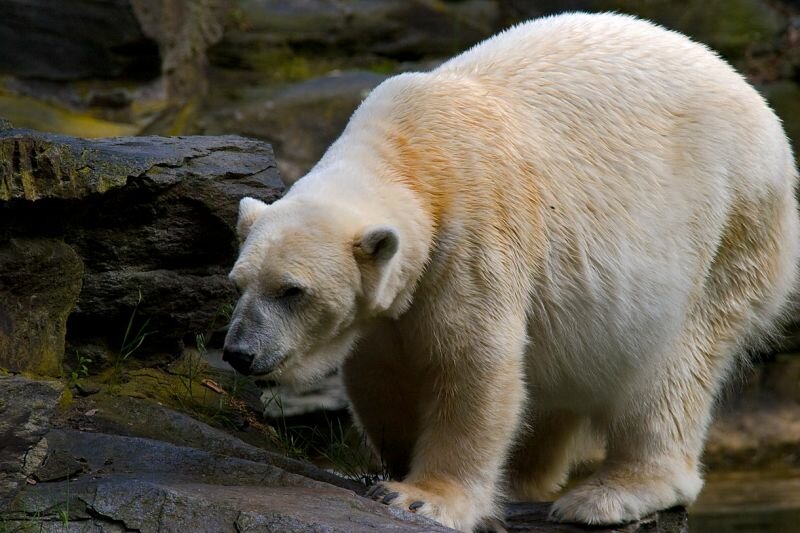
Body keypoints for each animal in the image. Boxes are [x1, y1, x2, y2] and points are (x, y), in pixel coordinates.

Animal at [223, 13, 800, 532]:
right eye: (239, 283)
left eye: (292, 291)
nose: (239, 352)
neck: (410, 153)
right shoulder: (394, 299)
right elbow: (383, 372)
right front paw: (395, 468)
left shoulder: (471, 234)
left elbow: (471, 363)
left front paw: (420, 496)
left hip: (728, 227)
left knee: (672, 368)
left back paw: (609, 495)